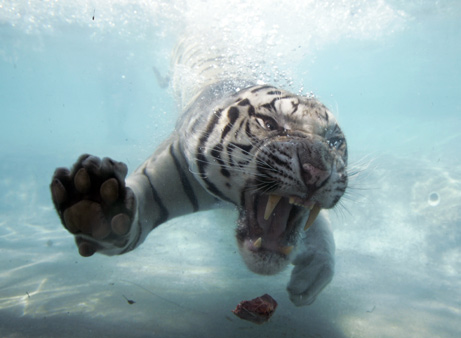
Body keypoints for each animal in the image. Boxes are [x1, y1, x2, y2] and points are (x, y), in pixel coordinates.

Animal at [49, 36, 344, 306]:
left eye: (334, 142)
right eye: (269, 124)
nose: (316, 172)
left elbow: (320, 229)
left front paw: (312, 275)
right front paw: (93, 207)